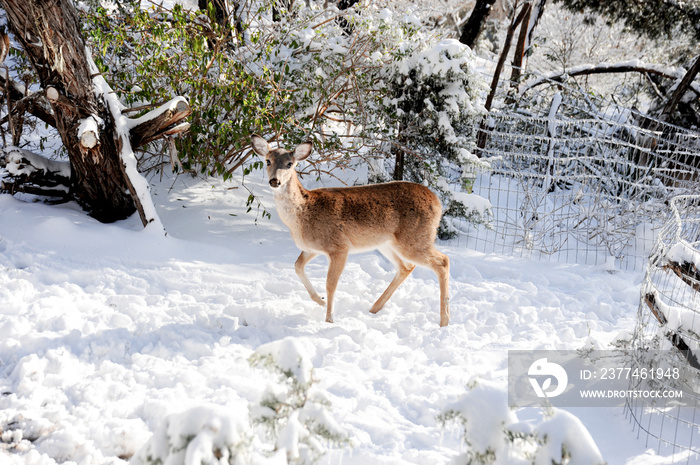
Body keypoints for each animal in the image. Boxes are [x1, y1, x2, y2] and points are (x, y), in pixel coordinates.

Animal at [253, 132, 454, 324]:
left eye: (290, 163)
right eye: (268, 161)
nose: (275, 181)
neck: (303, 215)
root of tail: (438, 202)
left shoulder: (339, 246)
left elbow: (330, 284)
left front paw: (329, 319)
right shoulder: (312, 248)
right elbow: (297, 266)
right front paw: (320, 300)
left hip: (414, 239)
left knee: (443, 261)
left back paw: (444, 320)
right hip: (387, 243)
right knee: (406, 267)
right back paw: (374, 308)